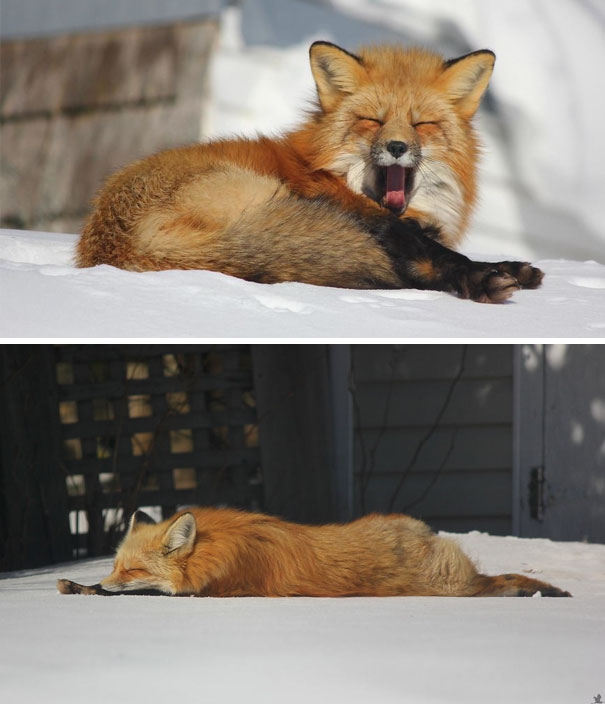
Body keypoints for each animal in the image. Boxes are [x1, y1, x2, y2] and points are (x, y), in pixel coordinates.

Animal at [75, 42, 543, 304]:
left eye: (421, 124)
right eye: (373, 121)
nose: (397, 147)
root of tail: (114, 245)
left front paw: (508, 267)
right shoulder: (370, 218)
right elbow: (435, 252)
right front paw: (482, 275)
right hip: (268, 196)